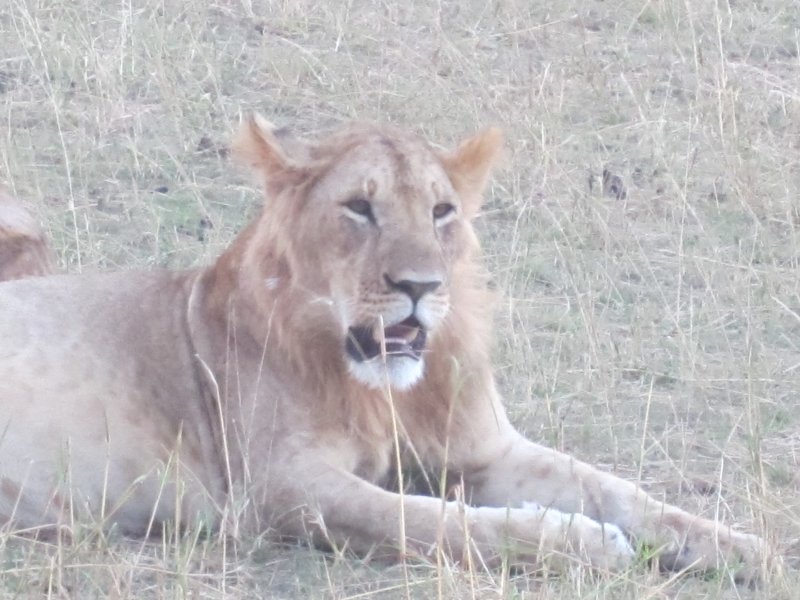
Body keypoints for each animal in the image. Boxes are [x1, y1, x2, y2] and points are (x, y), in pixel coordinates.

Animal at [0, 116, 766, 581]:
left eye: (441, 211)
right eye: (359, 208)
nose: (418, 285)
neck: (383, 392)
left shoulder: (487, 451)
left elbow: (619, 490)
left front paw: (740, 547)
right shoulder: (279, 489)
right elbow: (434, 523)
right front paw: (584, 543)